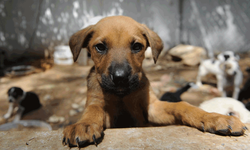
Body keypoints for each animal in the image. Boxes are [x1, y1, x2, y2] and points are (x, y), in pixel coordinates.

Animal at [62, 15, 246, 148]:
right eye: (100, 47)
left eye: (137, 46)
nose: (121, 78)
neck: (122, 95)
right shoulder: (102, 108)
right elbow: (93, 110)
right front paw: (84, 124)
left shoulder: (152, 108)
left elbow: (182, 106)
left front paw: (214, 118)